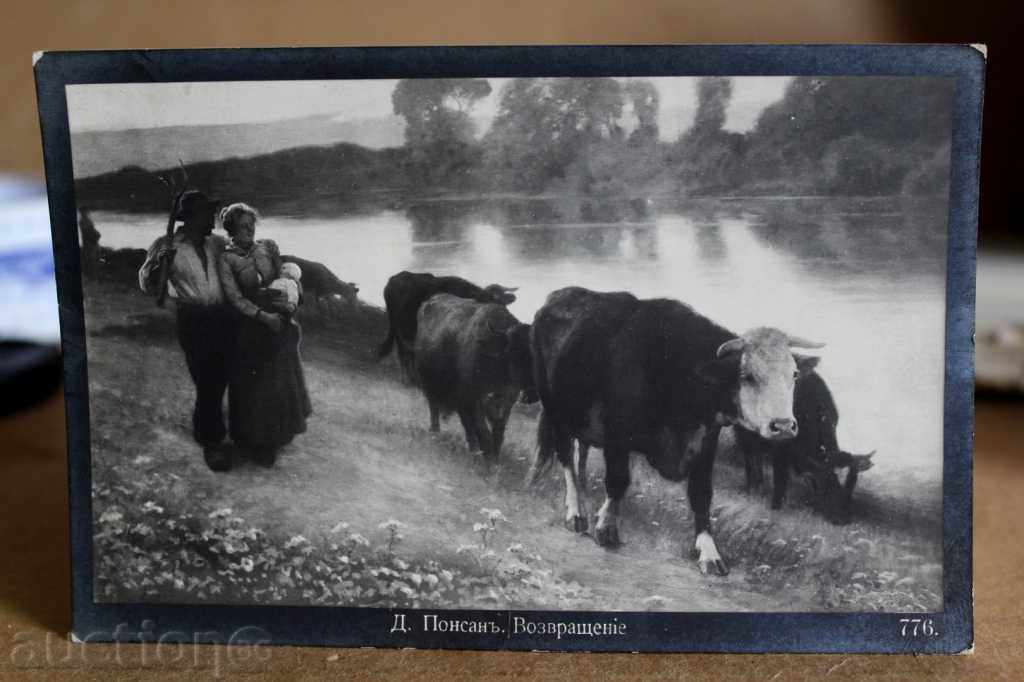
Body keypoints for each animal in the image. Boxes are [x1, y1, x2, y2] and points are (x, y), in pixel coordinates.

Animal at [411, 292, 536, 462]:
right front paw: (488, 457)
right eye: (512, 351)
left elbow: (498, 429)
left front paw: (494, 457)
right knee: (435, 407)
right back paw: (437, 433)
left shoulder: (506, 402)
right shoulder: (474, 397)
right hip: (429, 381)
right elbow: (481, 427)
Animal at [528, 284, 823, 573]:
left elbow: (701, 495)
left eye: (794, 374)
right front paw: (607, 527)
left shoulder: (706, 440)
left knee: (581, 452)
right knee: (566, 456)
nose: (783, 426)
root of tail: (560, 295)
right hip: (555, 410)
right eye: (746, 376)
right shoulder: (617, 436)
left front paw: (709, 553)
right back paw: (576, 512)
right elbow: (618, 480)